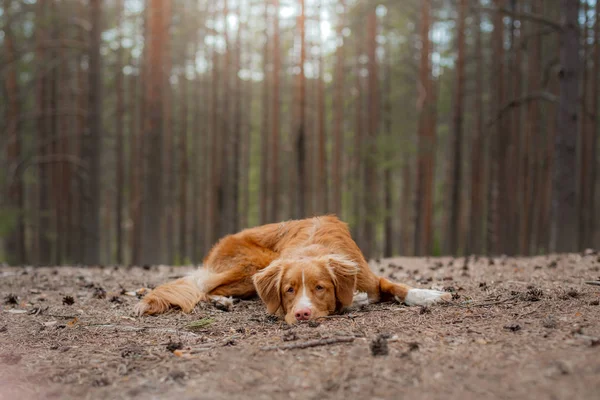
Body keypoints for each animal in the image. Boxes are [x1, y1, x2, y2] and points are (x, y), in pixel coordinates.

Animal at [136, 214, 450, 324]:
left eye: (320, 287)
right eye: (289, 290)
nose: (301, 314)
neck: (312, 248)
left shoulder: (368, 276)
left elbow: (395, 286)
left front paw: (430, 294)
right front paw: (357, 300)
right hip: (252, 264)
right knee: (205, 287)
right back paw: (222, 302)